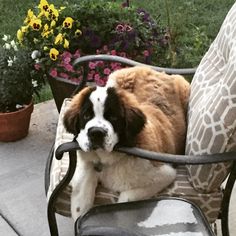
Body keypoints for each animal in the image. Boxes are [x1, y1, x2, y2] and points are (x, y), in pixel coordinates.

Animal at [62, 66, 190, 219]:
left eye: (113, 117)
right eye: (86, 115)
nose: (96, 132)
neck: (108, 161)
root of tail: (154, 70)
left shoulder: (164, 174)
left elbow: (126, 199)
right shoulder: (87, 164)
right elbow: (81, 201)